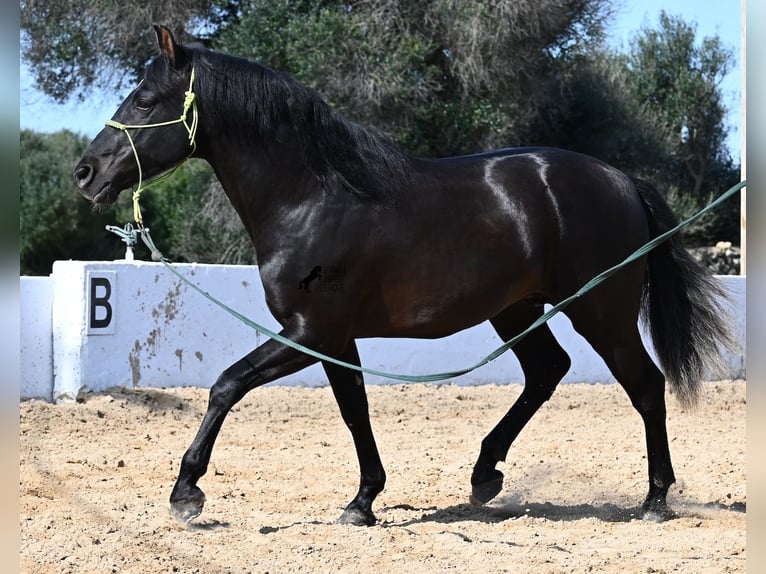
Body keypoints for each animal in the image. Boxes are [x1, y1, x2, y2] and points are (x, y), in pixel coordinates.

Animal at [75, 27, 736, 528]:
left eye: (144, 100)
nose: (86, 173)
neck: (313, 197)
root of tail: (620, 179)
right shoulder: (333, 338)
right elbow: (354, 410)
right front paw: (363, 501)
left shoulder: (309, 332)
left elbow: (226, 385)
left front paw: (186, 492)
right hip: (517, 308)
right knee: (549, 371)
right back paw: (485, 475)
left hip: (601, 310)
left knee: (645, 386)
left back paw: (654, 499)